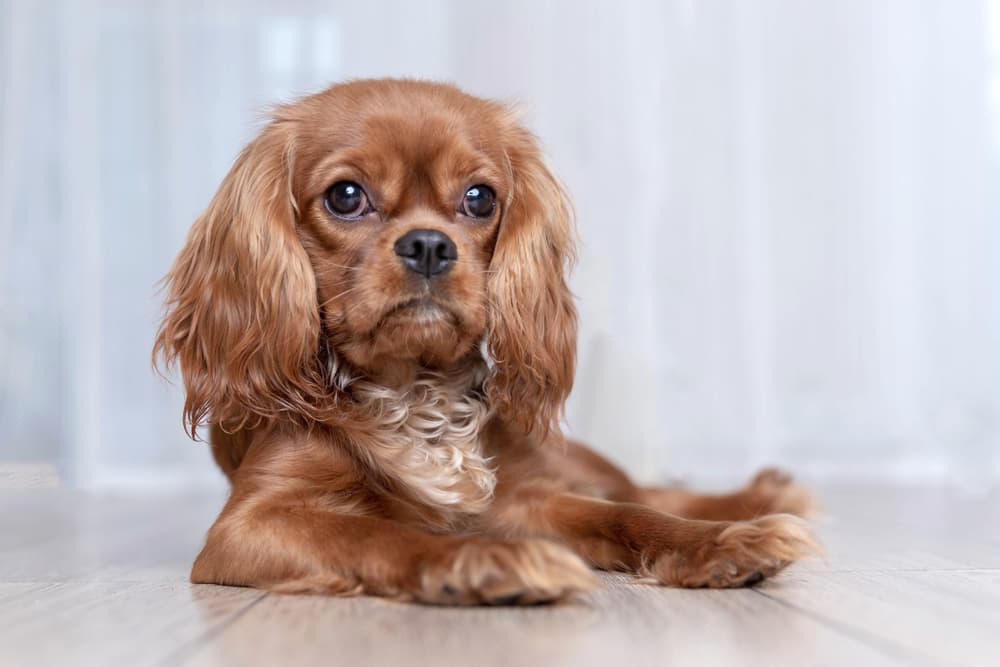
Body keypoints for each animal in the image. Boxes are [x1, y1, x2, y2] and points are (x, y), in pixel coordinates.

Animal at [152, 79, 816, 604]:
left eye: (479, 198)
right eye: (346, 196)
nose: (428, 243)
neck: (415, 391)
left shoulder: (529, 500)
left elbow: (630, 515)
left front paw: (722, 544)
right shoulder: (251, 524)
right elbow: (377, 533)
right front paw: (487, 561)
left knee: (642, 489)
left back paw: (753, 501)